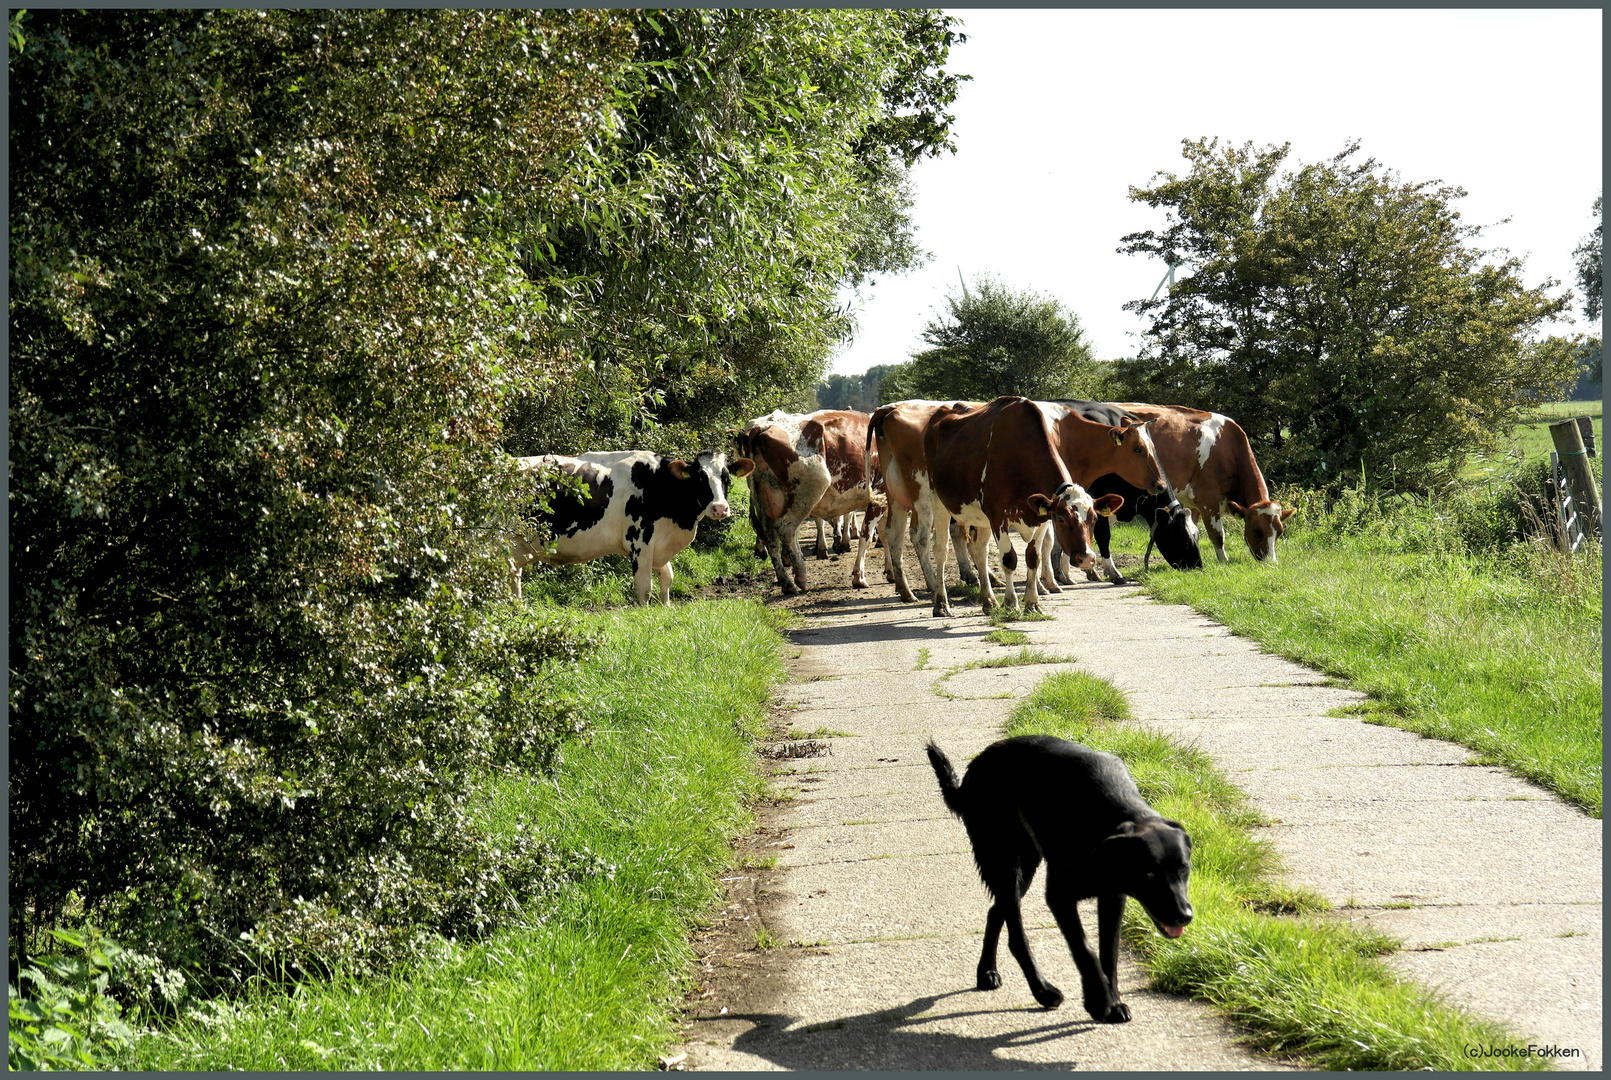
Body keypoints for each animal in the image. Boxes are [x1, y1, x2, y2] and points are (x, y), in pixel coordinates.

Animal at [509, 451, 753, 609]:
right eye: (700, 478)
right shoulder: (640, 542)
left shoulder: (659, 544)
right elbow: (644, 587)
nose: (719, 508)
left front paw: (667, 607)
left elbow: (667, 578)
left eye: (727, 478)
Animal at [737, 411, 889, 596]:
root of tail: (761, 427)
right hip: (811, 490)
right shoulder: (879, 495)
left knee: (770, 537)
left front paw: (891, 572)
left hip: (767, 501)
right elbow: (866, 537)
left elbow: (886, 535)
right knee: (786, 529)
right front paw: (859, 577)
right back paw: (800, 574)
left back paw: (786, 581)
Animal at [927, 398, 1127, 618]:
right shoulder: (998, 516)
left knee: (980, 551)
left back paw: (989, 601)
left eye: (1094, 519)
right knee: (941, 550)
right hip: (938, 501)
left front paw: (1032, 602)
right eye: (1061, 519)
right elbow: (1009, 559)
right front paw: (1011, 602)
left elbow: (1033, 558)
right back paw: (941, 604)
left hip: (981, 517)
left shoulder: (1040, 516)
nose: (1087, 558)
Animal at [927, 735, 1192, 1025]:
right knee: (1016, 935)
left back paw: (987, 972)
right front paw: (1098, 1002)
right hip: (1004, 864)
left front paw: (1114, 1001)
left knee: (996, 912)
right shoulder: (1059, 898)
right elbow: (1085, 950)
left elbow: (1109, 952)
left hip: (1024, 866)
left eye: (1185, 870)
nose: (1185, 916)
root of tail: (975, 767)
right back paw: (1042, 991)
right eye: (1150, 874)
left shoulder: (1112, 897)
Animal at [1108, 401, 1295, 564]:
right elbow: (1217, 533)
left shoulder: (1192, 504)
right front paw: (1224, 561)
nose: (1271, 563)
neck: (1227, 446)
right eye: (1257, 530)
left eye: (1279, 532)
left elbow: (1192, 527)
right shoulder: (1207, 496)